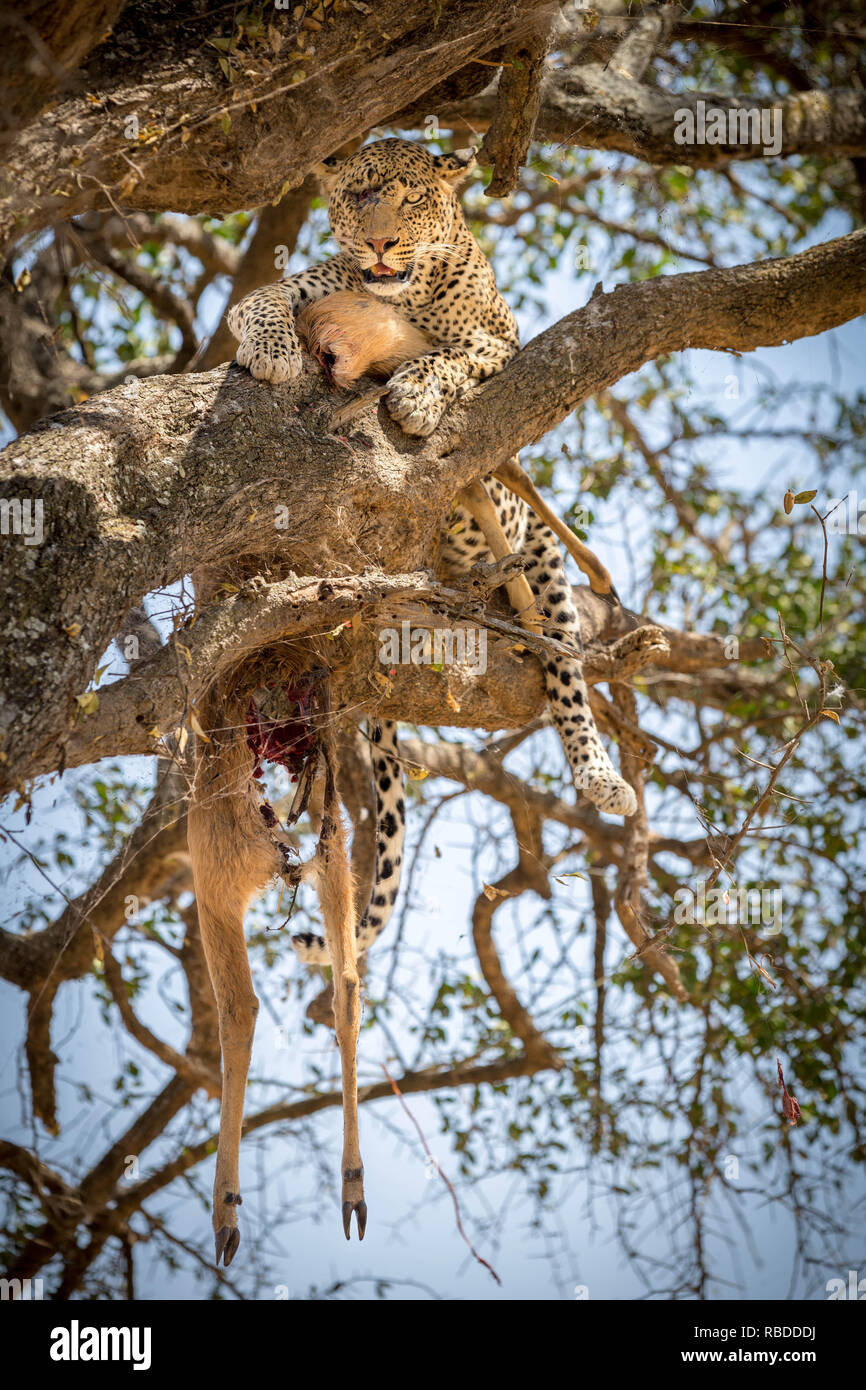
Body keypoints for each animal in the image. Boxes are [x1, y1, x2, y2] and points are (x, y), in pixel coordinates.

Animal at [229, 138, 636, 967]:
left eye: (411, 197)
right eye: (358, 197)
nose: (381, 243)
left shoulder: (502, 340)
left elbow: (457, 355)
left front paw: (418, 394)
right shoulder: (313, 285)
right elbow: (262, 297)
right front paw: (273, 345)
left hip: (537, 556)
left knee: (565, 671)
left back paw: (599, 772)